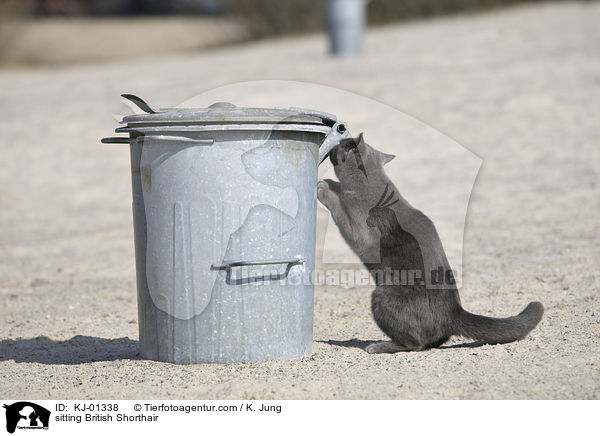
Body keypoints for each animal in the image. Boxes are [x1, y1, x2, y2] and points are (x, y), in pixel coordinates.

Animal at [318, 134, 544, 354]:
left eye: (343, 144)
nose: (334, 146)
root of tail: (454, 312)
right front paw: (329, 182)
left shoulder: (359, 230)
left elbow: (339, 208)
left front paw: (323, 187)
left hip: (382, 296)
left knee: (414, 344)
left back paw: (379, 346)